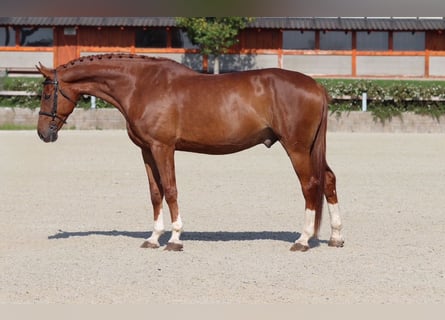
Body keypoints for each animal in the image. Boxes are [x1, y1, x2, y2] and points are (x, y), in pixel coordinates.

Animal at [37, 53, 344, 252]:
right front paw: (153, 238)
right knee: (328, 180)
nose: (43, 134)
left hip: (297, 148)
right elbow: (155, 193)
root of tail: (316, 85)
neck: (142, 85)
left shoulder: (163, 147)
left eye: (46, 93)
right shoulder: (147, 151)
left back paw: (303, 240)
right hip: (311, 149)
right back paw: (336, 236)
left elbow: (171, 189)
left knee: (310, 185)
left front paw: (174, 239)